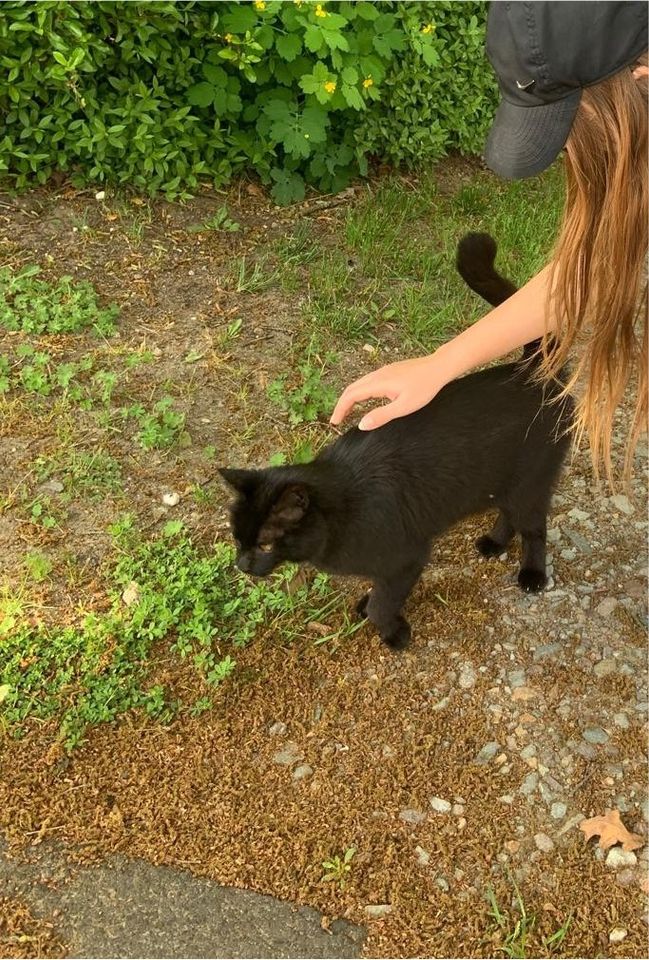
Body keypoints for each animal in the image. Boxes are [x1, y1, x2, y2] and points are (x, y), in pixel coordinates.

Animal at [221, 235, 572, 648]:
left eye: (263, 544)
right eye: (238, 539)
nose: (241, 564)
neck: (342, 510)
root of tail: (532, 371)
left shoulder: (408, 556)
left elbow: (384, 601)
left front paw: (391, 630)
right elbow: (379, 590)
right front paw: (371, 605)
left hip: (530, 482)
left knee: (533, 525)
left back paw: (532, 574)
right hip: (499, 482)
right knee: (507, 513)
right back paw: (493, 543)